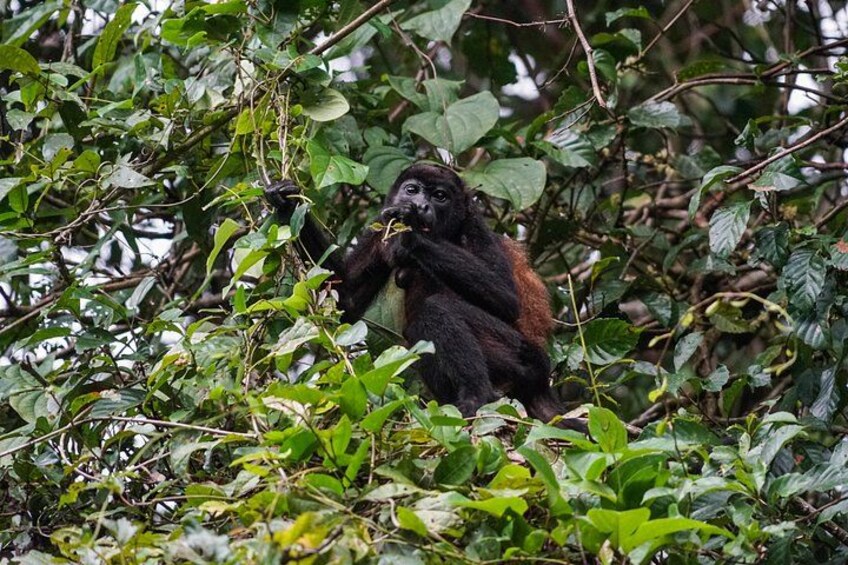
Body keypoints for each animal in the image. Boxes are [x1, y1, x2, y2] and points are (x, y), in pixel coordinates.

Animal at [266, 162, 584, 430]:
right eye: (412, 190)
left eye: (440, 196)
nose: (419, 205)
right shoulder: (379, 228)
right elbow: (346, 300)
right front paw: (287, 203)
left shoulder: (474, 226)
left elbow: (507, 299)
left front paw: (411, 236)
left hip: (524, 357)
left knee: (436, 309)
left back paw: (476, 396)